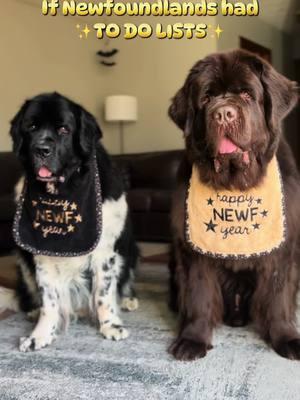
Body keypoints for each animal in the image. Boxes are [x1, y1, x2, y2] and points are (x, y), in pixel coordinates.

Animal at [0, 92, 139, 352]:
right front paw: (40, 335)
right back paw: (34, 312)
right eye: (31, 127)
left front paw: (111, 326)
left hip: (131, 251)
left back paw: (127, 301)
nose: (41, 149)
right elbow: (49, 300)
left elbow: (104, 293)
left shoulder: (106, 250)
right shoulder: (40, 255)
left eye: (64, 129)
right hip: (22, 259)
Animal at [168, 48, 300, 360]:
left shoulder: (283, 250)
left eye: (246, 94)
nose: (223, 113)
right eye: (206, 98)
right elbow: (198, 295)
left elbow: (278, 296)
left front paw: (286, 338)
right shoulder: (192, 252)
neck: (236, 186)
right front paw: (192, 339)